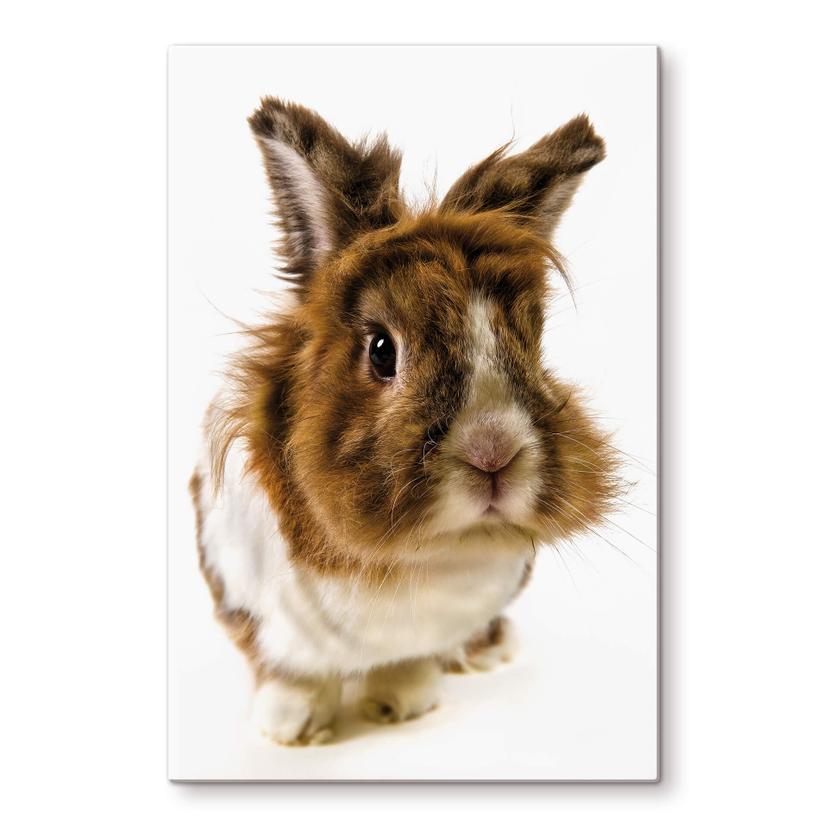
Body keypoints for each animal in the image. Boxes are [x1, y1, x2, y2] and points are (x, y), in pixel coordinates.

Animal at [190, 97, 620, 746]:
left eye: (532, 343)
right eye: (380, 351)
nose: (494, 454)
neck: (412, 560)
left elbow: (409, 663)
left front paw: (400, 704)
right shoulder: (247, 599)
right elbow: (287, 672)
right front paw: (292, 729)